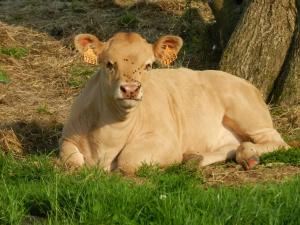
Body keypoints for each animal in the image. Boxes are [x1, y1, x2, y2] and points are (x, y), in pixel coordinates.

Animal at [59, 31, 290, 173]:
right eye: (108, 64)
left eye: (149, 65)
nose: (131, 89)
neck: (107, 141)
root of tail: (245, 82)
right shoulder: (67, 138)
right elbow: (71, 161)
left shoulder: (166, 141)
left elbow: (129, 160)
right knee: (233, 145)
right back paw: (195, 158)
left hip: (247, 113)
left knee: (277, 142)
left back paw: (248, 155)